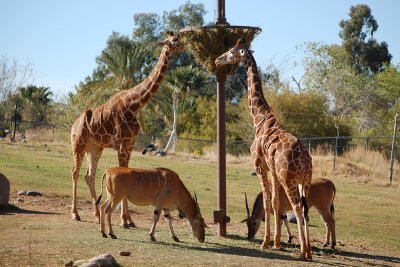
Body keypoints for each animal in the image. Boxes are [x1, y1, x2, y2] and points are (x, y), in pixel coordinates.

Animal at [70, 32, 184, 227]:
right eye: (174, 40)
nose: (184, 44)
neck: (134, 105)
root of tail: (73, 125)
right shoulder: (122, 144)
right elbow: (125, 174)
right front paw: (124, 220)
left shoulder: (130, 144)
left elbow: (128, 174)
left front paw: (129, 220)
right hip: (79, 144)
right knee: (75, 173)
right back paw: (75, 214)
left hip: (95, 147)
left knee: (89, 175)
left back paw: (95, 214)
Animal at [216, 38, 312, 260]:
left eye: (231, 51)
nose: (217, 59)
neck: (259, 118)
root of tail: (305, 160)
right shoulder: (274, 171)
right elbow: (276, 203)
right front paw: (276, 242)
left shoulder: (260, 166)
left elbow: (267, 203)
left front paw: (265, 243)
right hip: (305, 181)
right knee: (304, 208)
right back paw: (309, 251)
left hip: (290, 180)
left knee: (298, 208)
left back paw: (303, 252)